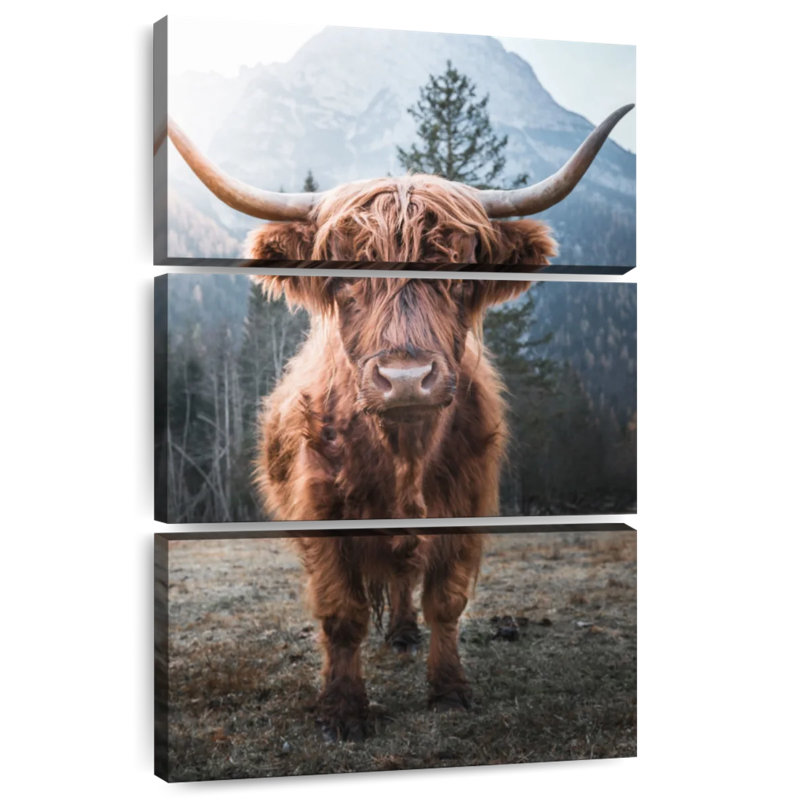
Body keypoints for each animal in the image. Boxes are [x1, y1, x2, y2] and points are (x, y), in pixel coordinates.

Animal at [167, 105, 632, 740]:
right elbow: (342, 614)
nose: (406, 378)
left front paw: (450, 689)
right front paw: (343, 710)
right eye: (341, 273)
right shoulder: (322, 513)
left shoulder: (465, 505)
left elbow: (446, 602)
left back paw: (406, 634)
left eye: (462, 268)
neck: (403, 453)